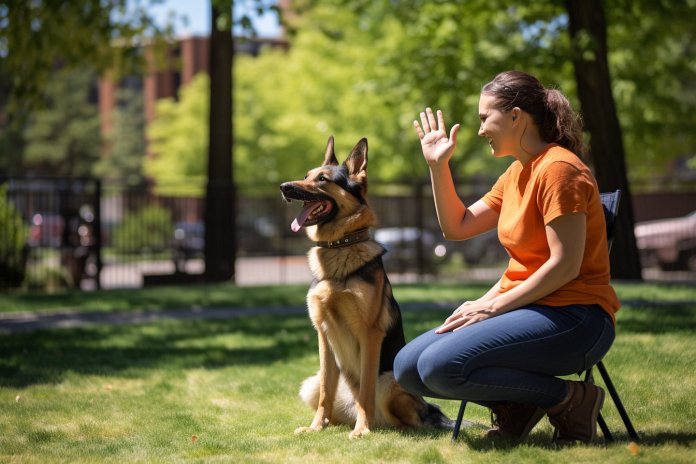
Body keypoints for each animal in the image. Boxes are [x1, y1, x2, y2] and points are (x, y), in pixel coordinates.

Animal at [278, 135, 452, 438]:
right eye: (306, 176)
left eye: (322, 179)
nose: (284, 187)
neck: (339, 247)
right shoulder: (323, 335)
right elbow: (326, 392)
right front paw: (315, 427)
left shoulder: (369, 333)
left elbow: (366, 389)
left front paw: (362, 430)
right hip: (310, 383)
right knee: (328, 399)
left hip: (390, 382)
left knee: (407, 421)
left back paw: (379, 426)